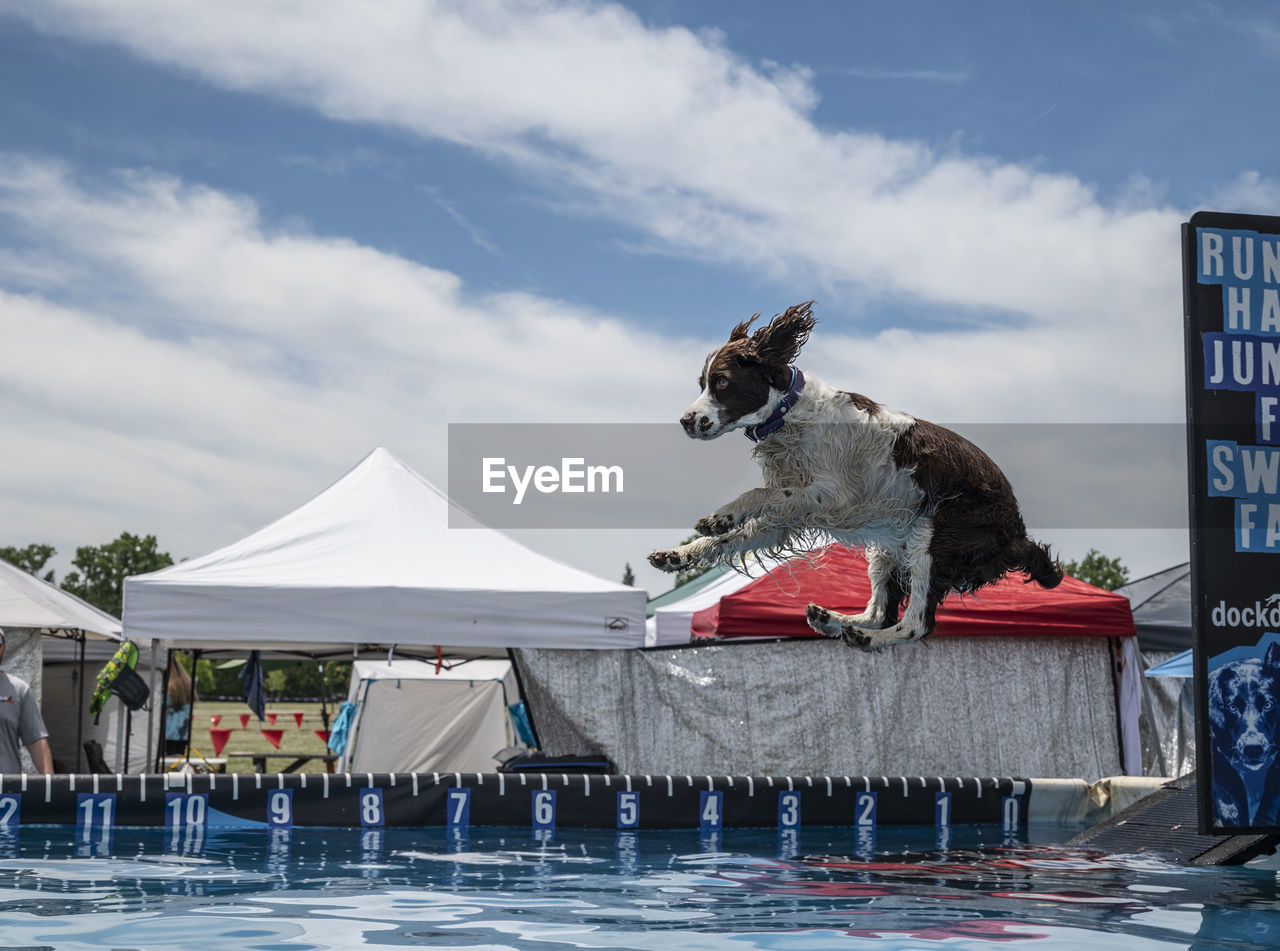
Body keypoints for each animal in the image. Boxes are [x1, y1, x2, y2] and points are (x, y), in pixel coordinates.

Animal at [650, 300, 1059, 650]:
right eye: (702, 383)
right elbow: (728, 539)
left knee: (916, 624)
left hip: (933, 537)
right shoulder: (784, 517)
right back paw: (835, 620)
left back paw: (863, 637)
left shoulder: (828, 494)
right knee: (881, 611)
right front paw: (677, 555)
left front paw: (722, 515)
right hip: (889, 549)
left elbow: (756, 495)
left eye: (721, 381)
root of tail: (1018, 532)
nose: (686, 421)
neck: (791, 414)